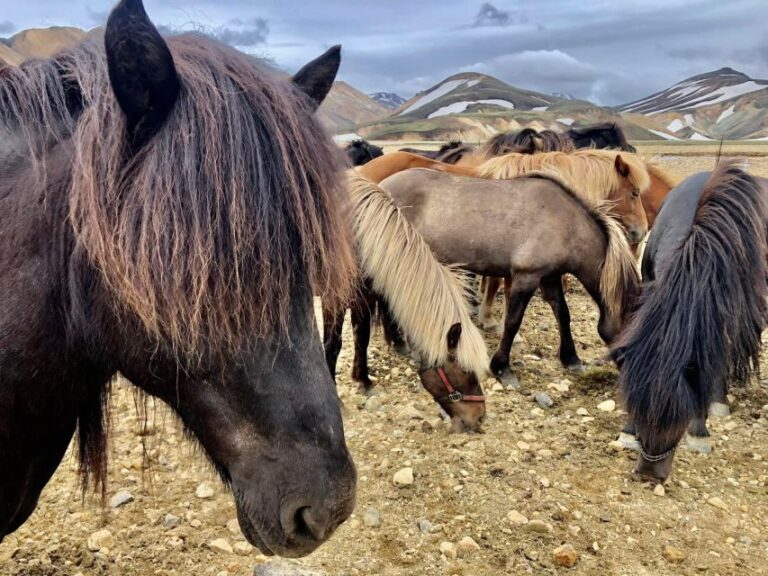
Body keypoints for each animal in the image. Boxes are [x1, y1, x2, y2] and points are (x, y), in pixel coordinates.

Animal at [320, 173, 488, 430]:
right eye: (466, 373)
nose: (480, 418)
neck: (361, 239)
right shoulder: (333, 301)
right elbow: (333, 346)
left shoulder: (363, 299)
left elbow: (362, 339)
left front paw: (363, 381)